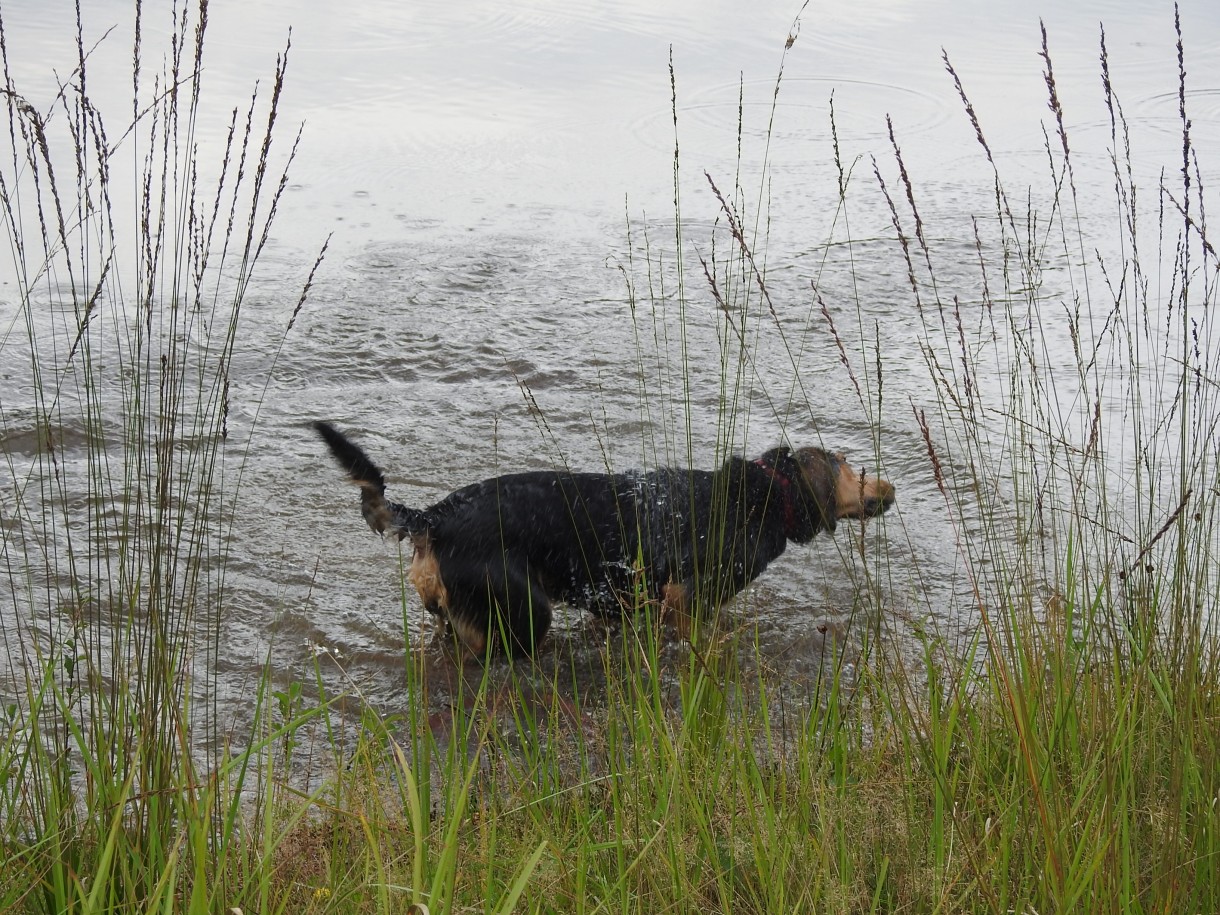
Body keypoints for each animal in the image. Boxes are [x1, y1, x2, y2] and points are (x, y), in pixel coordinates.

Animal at [309, 422, 893, 658]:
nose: (889, 489)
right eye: (847, 465)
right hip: (523, 614)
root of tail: (435, 515)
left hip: (454, 620)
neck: (761, 499)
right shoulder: (684, 600)